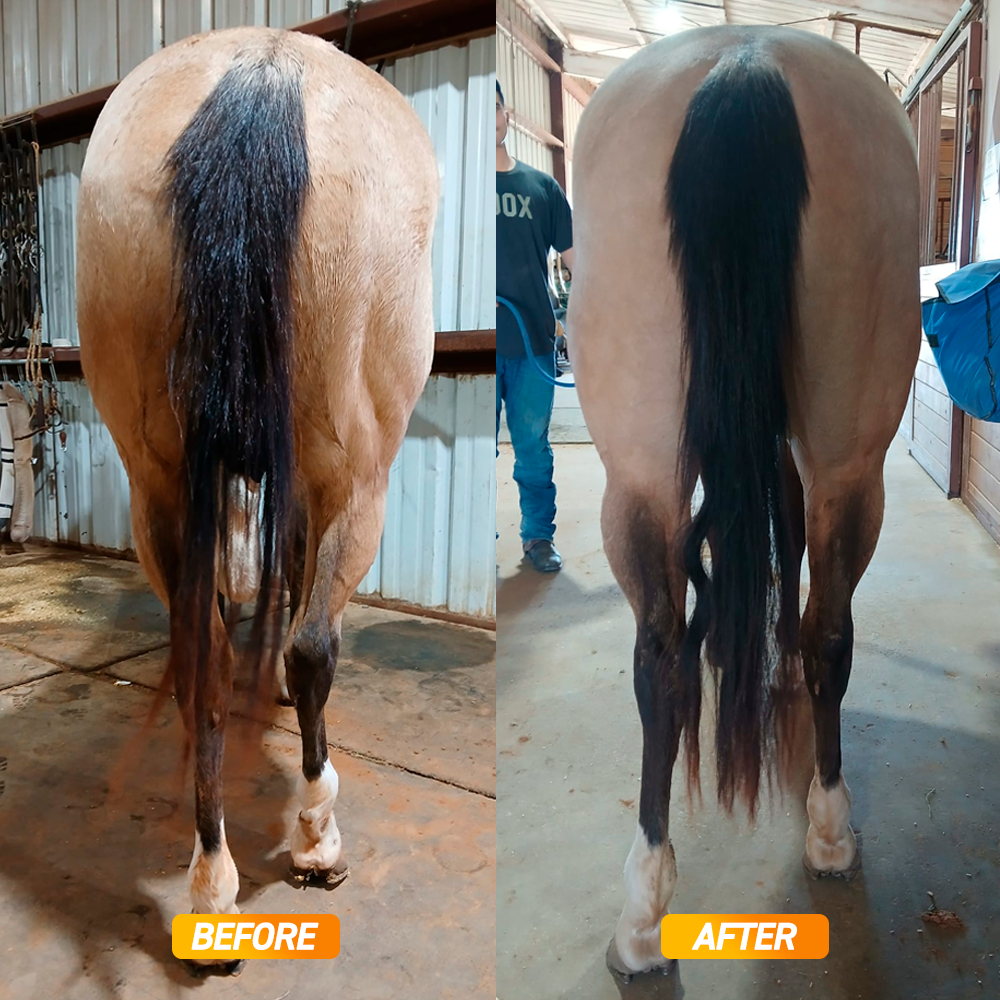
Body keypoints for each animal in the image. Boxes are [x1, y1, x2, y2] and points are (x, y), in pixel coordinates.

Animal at [76, 26, 438, 971]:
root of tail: (261, 70)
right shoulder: (317, 485)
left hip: (157, 485)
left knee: (200, 659)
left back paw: (212, 884)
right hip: (357, 480)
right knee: (313, 646)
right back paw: (316, 840)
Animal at [567, 26, 919, 977]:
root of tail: (745, 57)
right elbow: (782, 550)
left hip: (644, 474)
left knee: (662, 657)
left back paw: (645, 911)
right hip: (844, 468)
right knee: (821, 628)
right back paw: (826, 829)